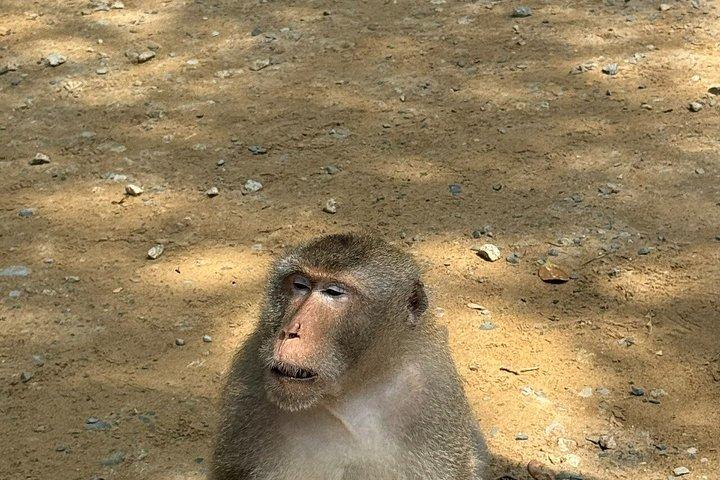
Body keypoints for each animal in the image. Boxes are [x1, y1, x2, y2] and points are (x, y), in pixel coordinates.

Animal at [211, 233, 488, 480]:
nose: (290, 332)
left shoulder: (432, 394)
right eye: (300, 285)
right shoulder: (248, 387)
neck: (349, 392)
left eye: (333, 292)